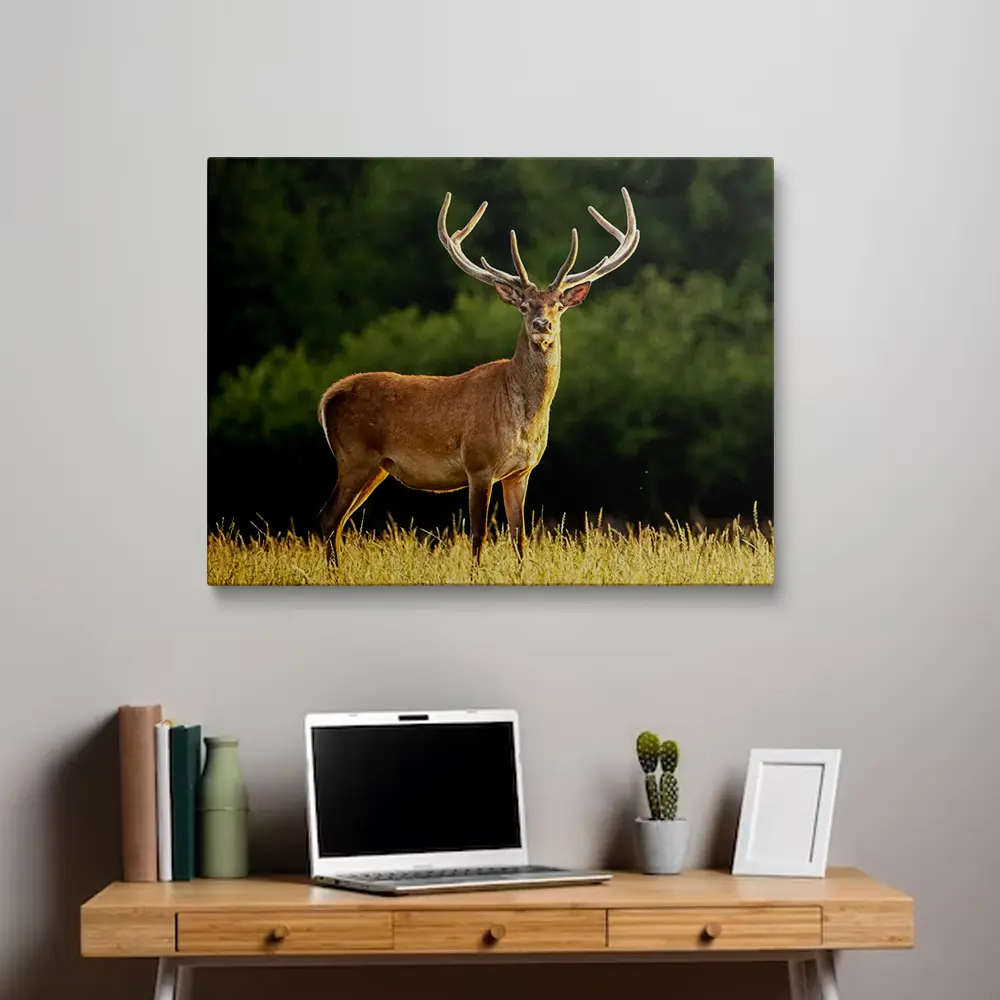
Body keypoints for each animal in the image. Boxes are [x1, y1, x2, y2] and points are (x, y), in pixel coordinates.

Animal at [317, 187, 640, 567]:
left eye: (558, 305)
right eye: (524, 305)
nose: (542, 325)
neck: (523, 419)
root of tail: (328, 397)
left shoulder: (521, 471)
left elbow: (520, 537)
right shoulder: (478, 463)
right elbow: (478, 534)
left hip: (376, 466)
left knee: (339, 520)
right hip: (354, 456)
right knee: (328, 516)